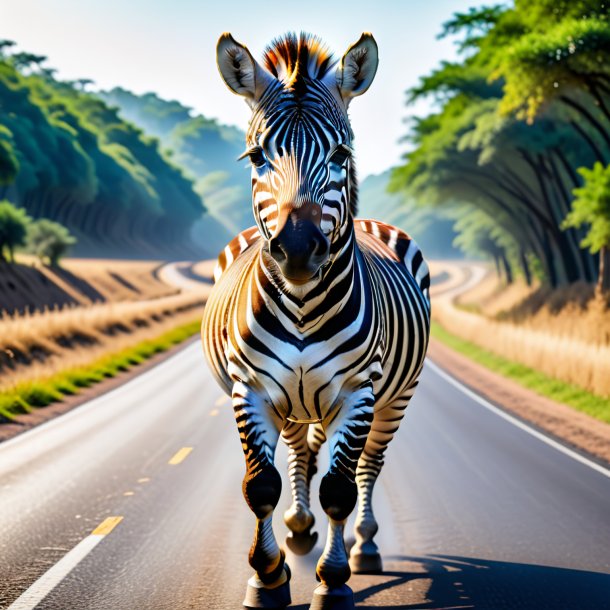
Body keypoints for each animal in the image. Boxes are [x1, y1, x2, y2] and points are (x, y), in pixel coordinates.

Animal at [202, 33, 430, 608]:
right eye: (256, 156)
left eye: (341, 154)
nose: (300, 250)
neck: (304, 306)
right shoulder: (252, 389)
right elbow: (261, 485)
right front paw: (267, 576)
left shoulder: (358, 392)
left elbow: (341, 489)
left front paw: (333, 579)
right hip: (294, 401)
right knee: (300, 452)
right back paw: (300, 530)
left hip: (394, 397)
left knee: (368, 465)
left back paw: (363, 547)